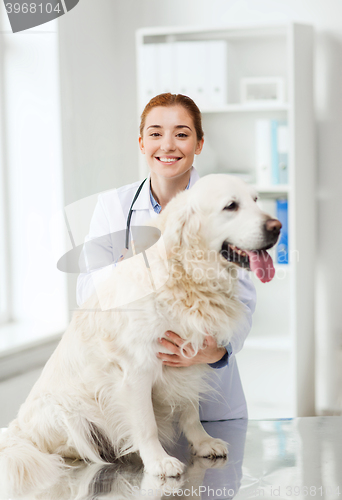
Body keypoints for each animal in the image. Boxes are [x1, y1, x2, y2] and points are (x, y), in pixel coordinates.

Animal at [0, 174, 280, 494]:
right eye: (231, 206)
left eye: (256, 200)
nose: (277, 227)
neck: (187, 278)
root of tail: (18, 431)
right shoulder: (136, 370)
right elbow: (146, 425)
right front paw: (158, 461)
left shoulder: (187, 363)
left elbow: (191, 412)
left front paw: (202, 442)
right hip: (64, 413)